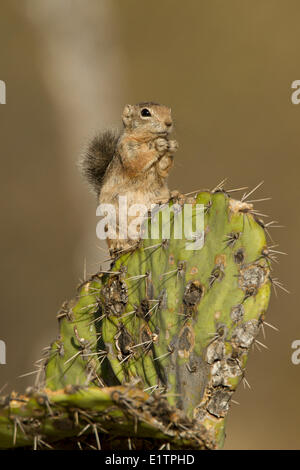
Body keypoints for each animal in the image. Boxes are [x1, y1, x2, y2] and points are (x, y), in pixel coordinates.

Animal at [80, 102, 178, 253]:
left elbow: (162, 169)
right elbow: (138, 160)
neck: (147, 139)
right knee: (115, 236)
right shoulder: (127, 150)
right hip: (110, 222)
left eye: (169, 110)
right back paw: (119, 246)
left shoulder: (160, 168)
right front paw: (158, 145)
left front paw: (171, 146)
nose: (169, 123)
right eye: (145, 113)